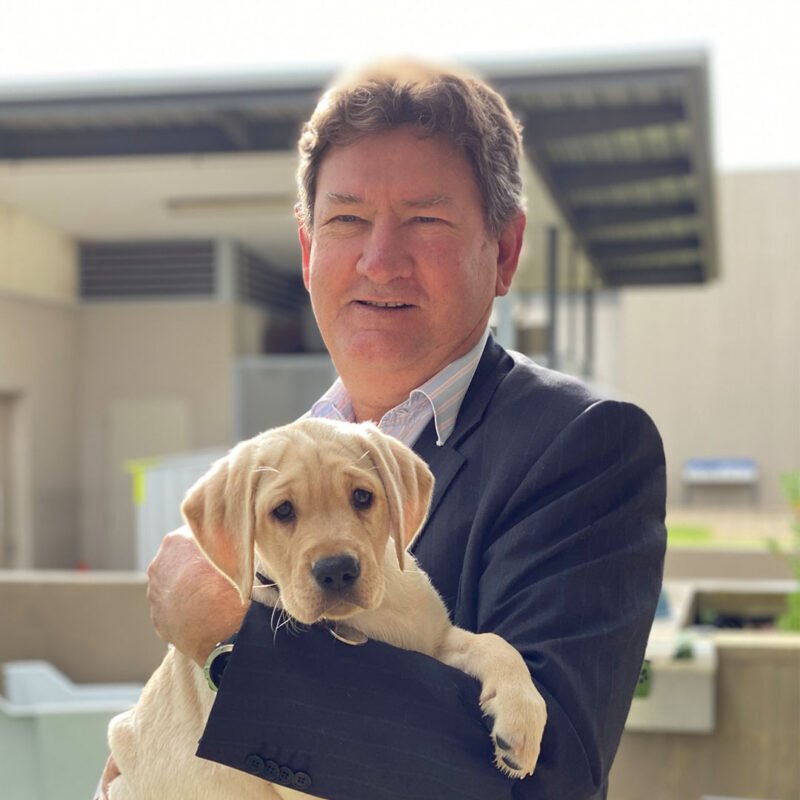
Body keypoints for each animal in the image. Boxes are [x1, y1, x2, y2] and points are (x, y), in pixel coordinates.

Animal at [106, 418, 548, 800]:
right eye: (283, 511)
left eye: (362, 497)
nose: (337, 571)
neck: (361, 622)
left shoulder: (434, 641)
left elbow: (494, 644)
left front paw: (522, 716)